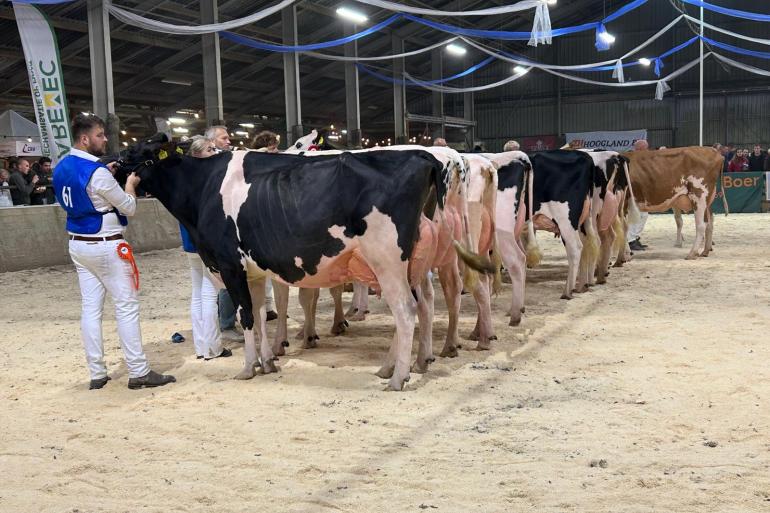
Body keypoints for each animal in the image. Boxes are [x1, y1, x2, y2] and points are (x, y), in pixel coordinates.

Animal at [126, 139, 492, 390]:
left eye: (135, 156)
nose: (113, 168)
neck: (203, 188)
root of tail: (424, 156)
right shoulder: (253, 271)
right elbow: (260, 314)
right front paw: (267, 362)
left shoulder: (229, 266)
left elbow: (249, 316)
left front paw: (247, 368)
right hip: (412, 263)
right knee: (425, 303)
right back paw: (403, 364)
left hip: (387, 261)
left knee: (406, 311)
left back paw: (398, 377)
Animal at [526, 150, 596, 299]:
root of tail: (585, 156)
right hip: (582, 221)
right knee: (585, 246)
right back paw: (581, 285)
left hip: (565, 221)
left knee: (575, 248)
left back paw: (567, 292)